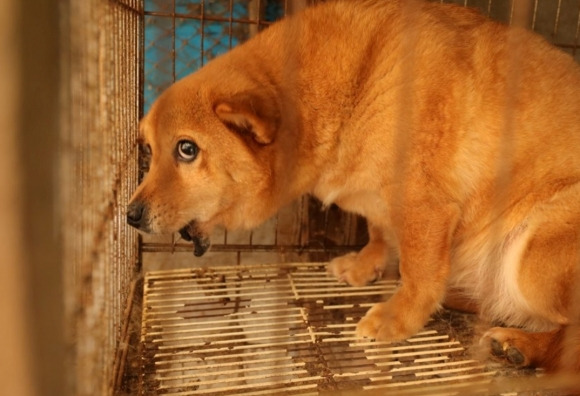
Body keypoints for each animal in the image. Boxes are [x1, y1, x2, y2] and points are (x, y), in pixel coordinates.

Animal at [129, 0, 580, 372]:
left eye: (187, 149)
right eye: (148, 149)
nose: (130, 215)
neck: (352, 87)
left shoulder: (424, 205)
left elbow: (419, 276)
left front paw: (398, 317)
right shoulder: (381, 201)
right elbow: (378, 232)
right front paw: (366, 265)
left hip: (533, 253)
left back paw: (522, 345)